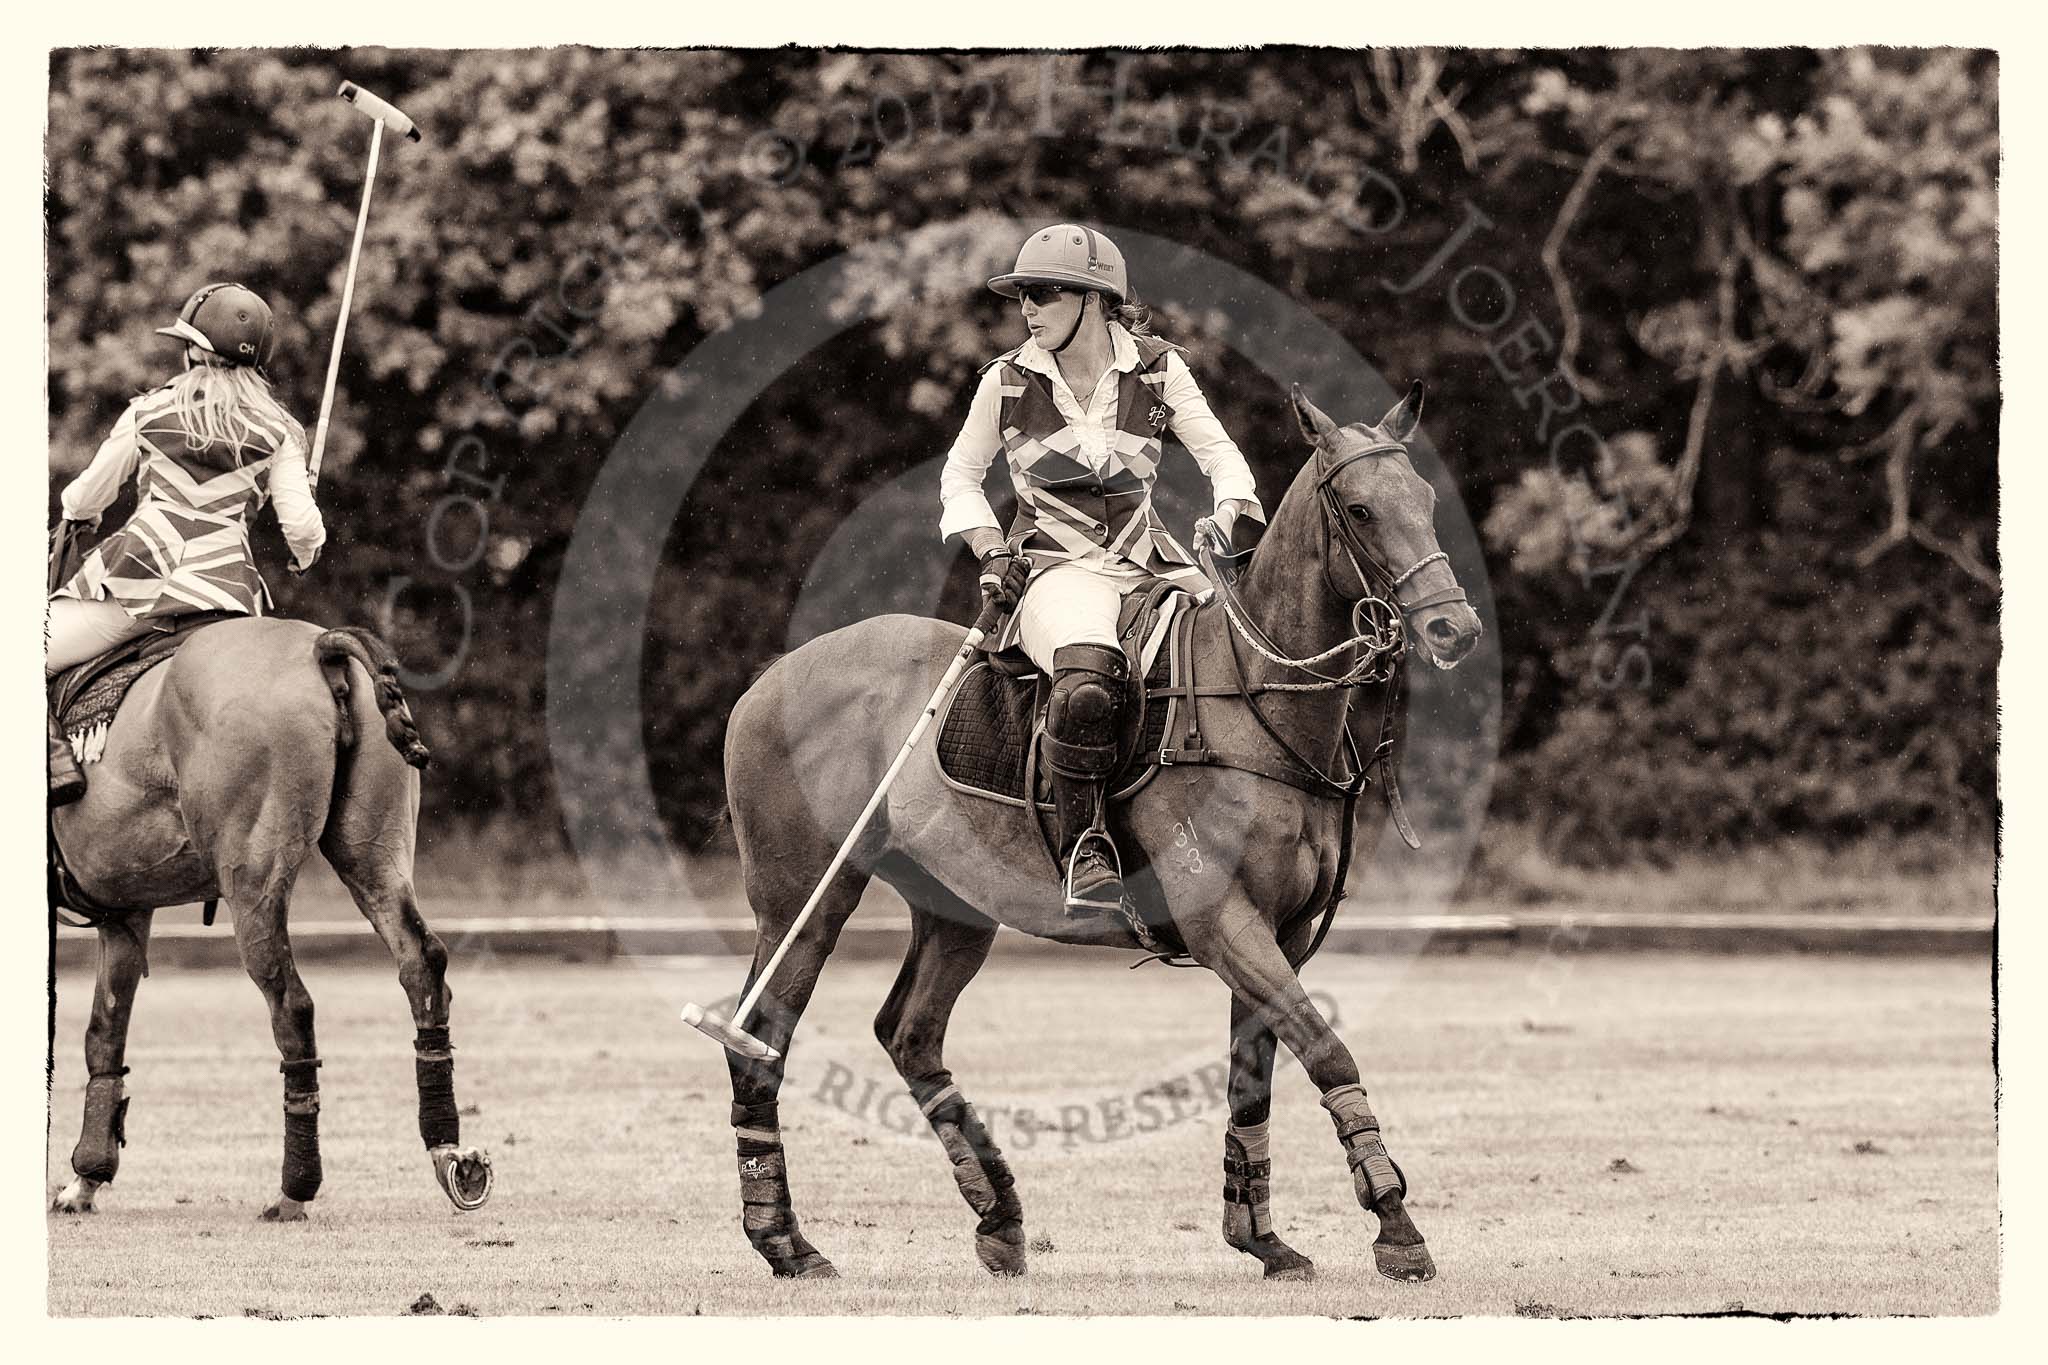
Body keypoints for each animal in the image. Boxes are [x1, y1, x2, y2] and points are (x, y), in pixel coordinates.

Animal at [46, 613, 493, 1219]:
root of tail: (319, 646)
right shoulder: (125, 910)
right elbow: (104, 1031)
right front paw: (87, 1178)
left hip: (252, 879)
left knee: (291, 1004)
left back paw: (293, 1189)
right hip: (374, 851)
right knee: (421, 964)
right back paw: (448, 1150)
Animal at [716, 382, 1474, 1285]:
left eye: (1425, 499)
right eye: (1359, 509)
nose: (1455, 629)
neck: (1258, 702)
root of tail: (763, 682)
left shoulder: (1280, 929)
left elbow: (1251, 1076)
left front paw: (1261, 1236)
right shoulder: (1222, 922)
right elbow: (1327, 1051)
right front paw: (1397, 1225)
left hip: (955, 904)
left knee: (909, 1032)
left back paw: (999, 1217)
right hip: (804, 896)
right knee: (758, 1037)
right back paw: (785, 1241)